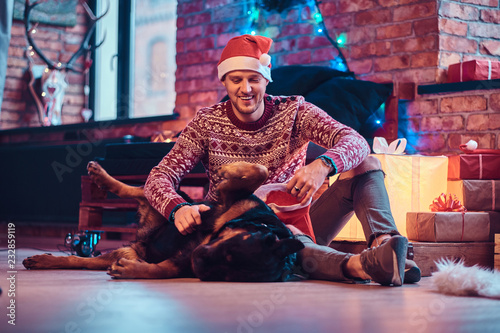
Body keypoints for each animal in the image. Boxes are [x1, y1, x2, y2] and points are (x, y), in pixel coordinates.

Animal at [22, 161, 304, 280]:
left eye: (226, 273)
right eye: (230, 251)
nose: (198, 262)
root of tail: (140, 241)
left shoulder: (180, 262)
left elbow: (161, 269)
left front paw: (131, 270)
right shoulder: (229, 199)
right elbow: (259, 173)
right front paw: (231, 170)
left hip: (129, 246)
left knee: (80, 260)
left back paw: (44, 260)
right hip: (174, 201)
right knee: (139, 188)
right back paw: (101, 175)